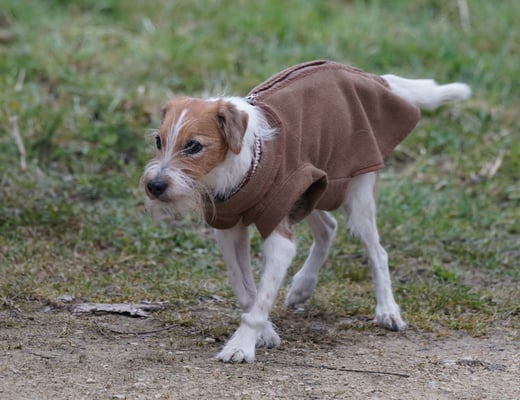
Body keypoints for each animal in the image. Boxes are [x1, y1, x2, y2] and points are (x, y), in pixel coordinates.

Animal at [143, 60, 471, 363]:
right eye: (158, 141)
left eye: (194, 146)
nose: (155, 185)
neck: (241, 164)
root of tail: (374, 78)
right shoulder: (229, 229)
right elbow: (247, 291)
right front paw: (265, 333)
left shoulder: (280, 237)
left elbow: (261, 299)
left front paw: (242, 345)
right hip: (312, 189)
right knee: (328, 228)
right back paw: (303, 286)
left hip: (356, 196)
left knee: (377, 252)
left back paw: (387, 310)